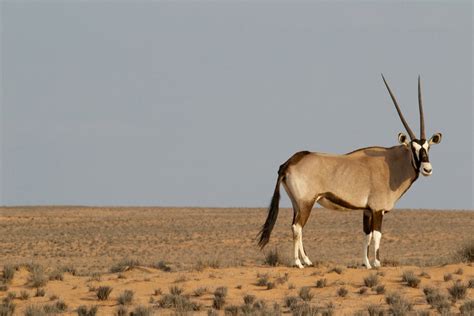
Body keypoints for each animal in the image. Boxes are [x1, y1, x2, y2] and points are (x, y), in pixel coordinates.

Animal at [260, 74, 440, 270]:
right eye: (413, 148)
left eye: (428, 147)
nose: (427, 169)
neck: (391, 164)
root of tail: (289, 162)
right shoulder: (377, 210)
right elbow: (377, 235)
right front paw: (377, 263)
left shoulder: (367, 210)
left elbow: (367, 236)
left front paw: (366, 264)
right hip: (306, 202)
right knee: (297, 227)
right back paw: (299, 263)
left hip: (297, 204)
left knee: (296, 226)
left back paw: (307, 260)